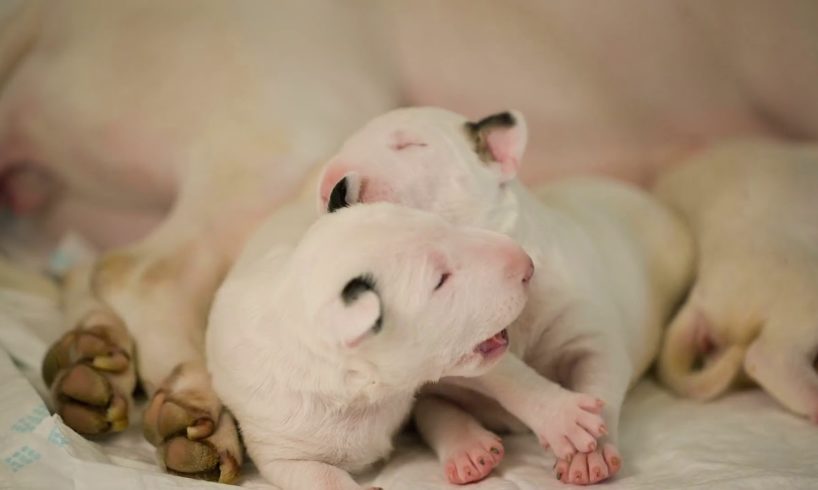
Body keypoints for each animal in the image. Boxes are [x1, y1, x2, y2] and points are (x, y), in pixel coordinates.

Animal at [207, 195, 532, 490]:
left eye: (445, 225)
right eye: (440, 280)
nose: (527, 264)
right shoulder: (280, 448)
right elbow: (323, 477)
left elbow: (514, 383)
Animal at [316, 107, 692, 486]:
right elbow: (485, 376)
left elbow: (599, 368)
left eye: (410, 144)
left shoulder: (582, 322)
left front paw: (591, 450)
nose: (330, 184)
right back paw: (469, 448)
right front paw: (557, 418)